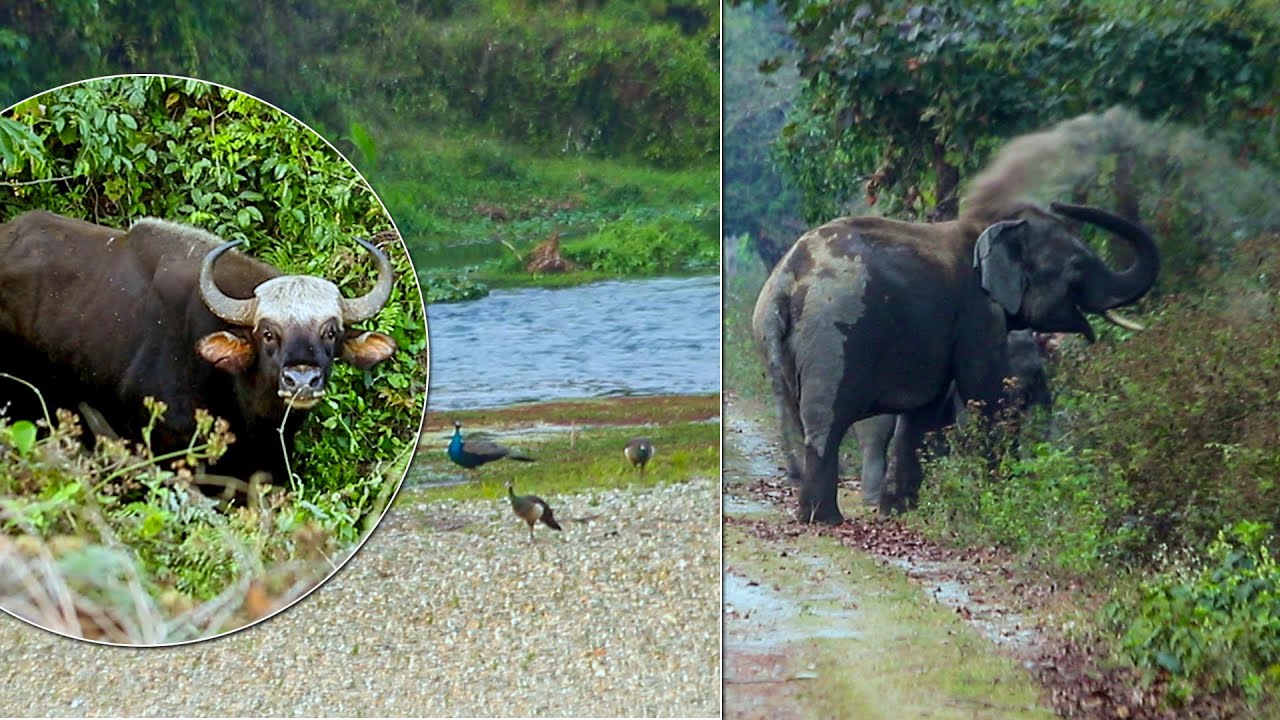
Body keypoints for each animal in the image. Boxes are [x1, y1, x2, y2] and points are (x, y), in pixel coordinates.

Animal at [854, 329, 1052, 507]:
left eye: (1036, 371)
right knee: (876, 438)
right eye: (1007, 372)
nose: (1020, 398)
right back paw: (874, 500)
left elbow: (1039, 424)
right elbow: (970, 422)